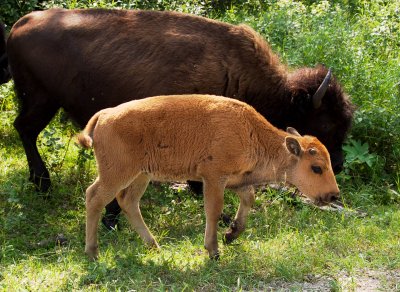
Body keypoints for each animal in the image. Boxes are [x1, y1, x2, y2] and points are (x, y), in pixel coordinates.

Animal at [2, 8, 354, 228]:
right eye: (327, 123)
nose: (337, 163)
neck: (232, 70)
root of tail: (21, 23)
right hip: (41, 100)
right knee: (26, 129)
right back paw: (43, 183)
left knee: (24, 129)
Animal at [79, 94, 340, 260]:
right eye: (317, 167)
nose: (333, 195)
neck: (252, 132)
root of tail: (106, 114)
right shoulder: (214, 177)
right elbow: (213, 211)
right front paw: (213, 251)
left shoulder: (236, 180)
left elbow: (249, 198)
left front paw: (231, 235)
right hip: (116, 174)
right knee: (94, 198)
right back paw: (93, 252)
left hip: (141, 175)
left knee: (128, 202)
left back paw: (154, 246)